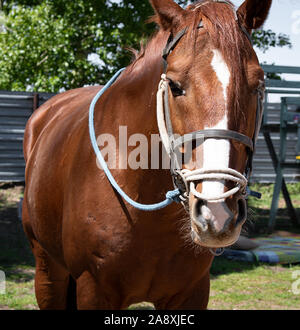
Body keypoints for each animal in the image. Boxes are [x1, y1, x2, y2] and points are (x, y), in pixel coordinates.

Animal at [22, 0, 272, 310]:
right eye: (174, 85)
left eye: (258, 84)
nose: (217, 211)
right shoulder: (92, 290)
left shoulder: (192, 292)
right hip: (47, 271)